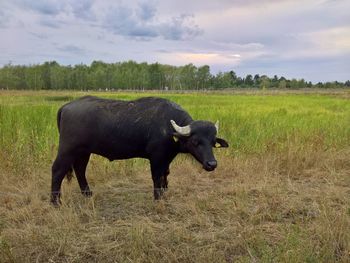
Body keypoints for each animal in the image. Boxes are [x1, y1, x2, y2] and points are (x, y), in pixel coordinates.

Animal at [50, 96, 228, 205]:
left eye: (213, 142)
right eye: (195, 141)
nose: (212, 164)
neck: (168, 128)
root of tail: (66, 107)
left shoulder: (166, 158)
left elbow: (165, 175)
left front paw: (164, 193)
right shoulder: (156, 158)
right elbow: (157, 177)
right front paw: (157, 198)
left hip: (83, 152)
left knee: (80, 170)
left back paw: (88, 194)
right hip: (67, 150)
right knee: (57, 170)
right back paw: (55, 202)